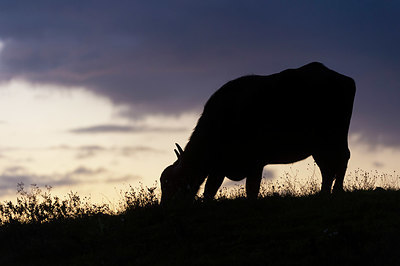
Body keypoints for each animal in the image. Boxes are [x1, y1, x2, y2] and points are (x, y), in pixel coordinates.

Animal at [159, 61, 356, 206]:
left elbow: (249, 190)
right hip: (319, 145)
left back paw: (337, 190)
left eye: (170, 184)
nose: (164, 205)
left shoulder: (255, 163)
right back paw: (324, 193)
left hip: (335, 136)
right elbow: (210, 190)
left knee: (342, 158)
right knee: (327, 167)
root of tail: (345, 80)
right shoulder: (220, 167)